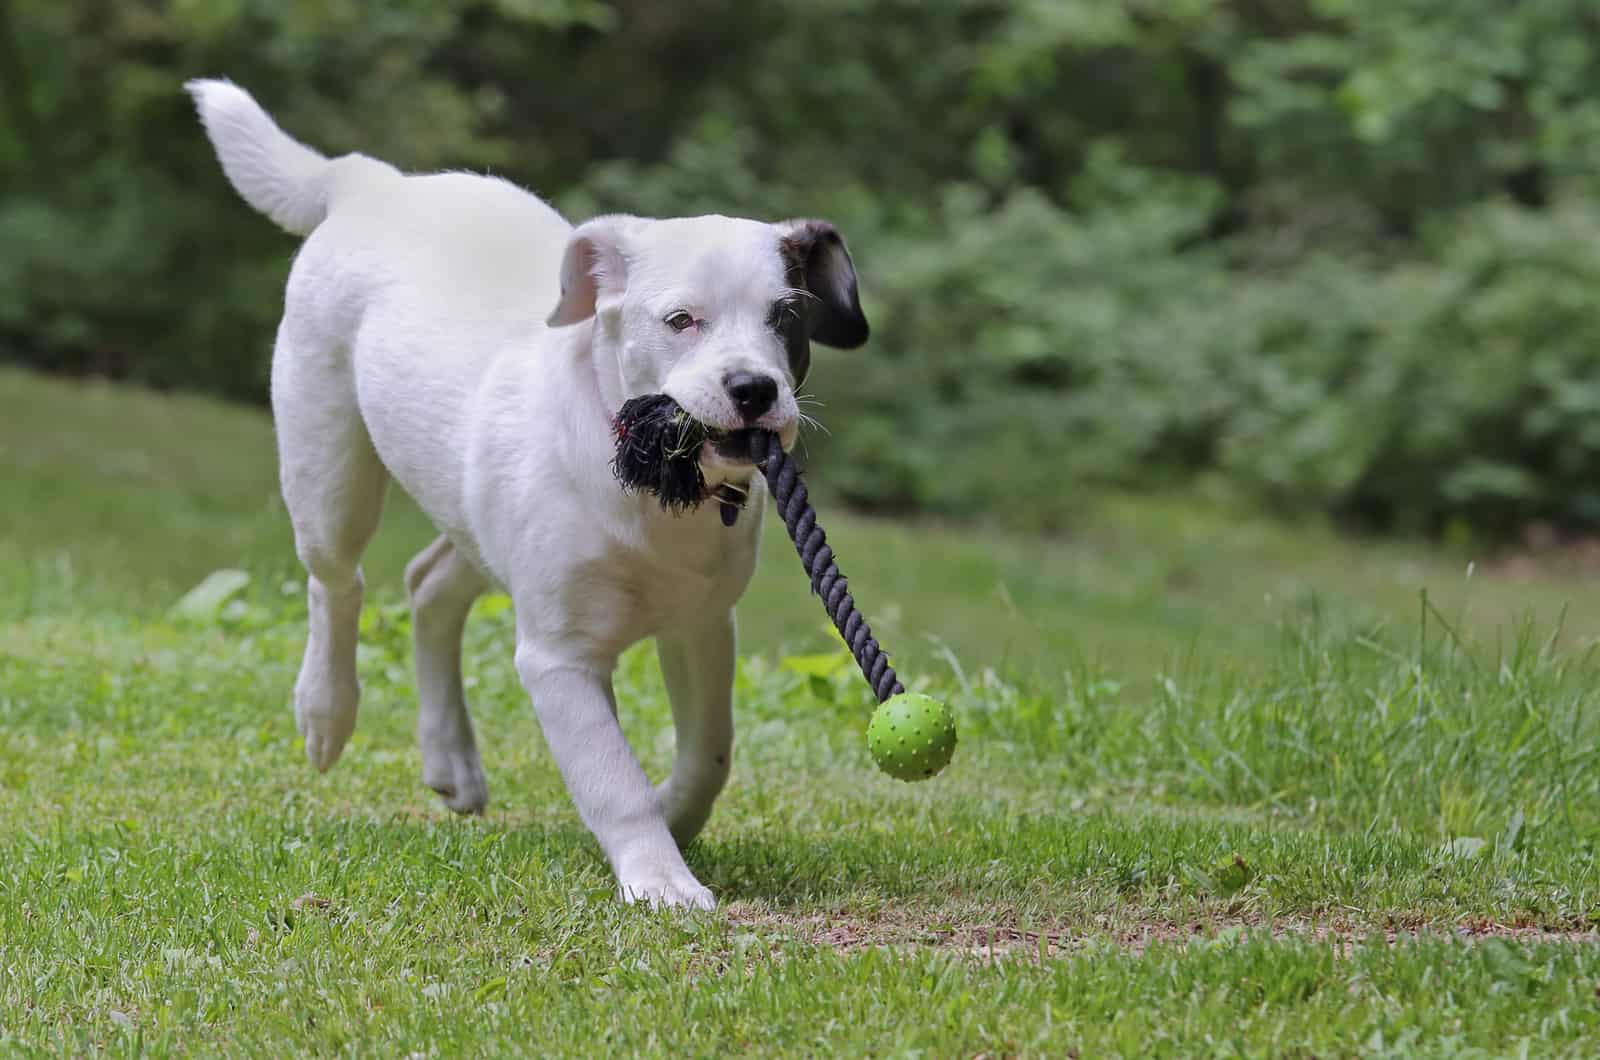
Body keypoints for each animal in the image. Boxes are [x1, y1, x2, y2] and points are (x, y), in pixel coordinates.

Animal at [192, 85, 870, 915]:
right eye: (680, 321)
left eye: (786, 320)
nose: (753, 389)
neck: (653, 491)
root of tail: (371, 181)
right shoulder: (559, 658)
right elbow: (613, 779)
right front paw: (660, 878)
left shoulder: (704, 625)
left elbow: (710, 751)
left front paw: (677, 818)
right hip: (329, 465)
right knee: (336, 583)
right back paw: (326, 711)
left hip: (474, 510)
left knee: (429, 584)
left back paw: (450, 757)